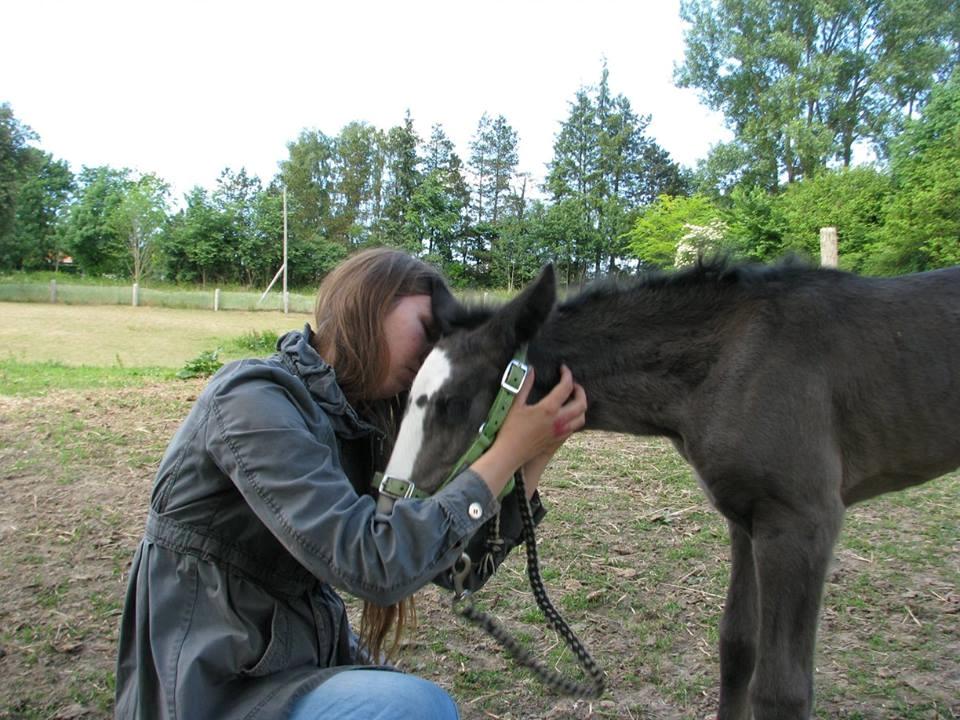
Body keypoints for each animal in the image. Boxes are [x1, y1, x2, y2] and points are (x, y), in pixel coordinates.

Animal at [384, 260, 960, 720]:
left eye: (453, 402)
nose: (396, 512)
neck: (737, 361)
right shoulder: (746, 520)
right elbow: (736, 649)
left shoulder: (800, 524)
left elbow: (782, 690)